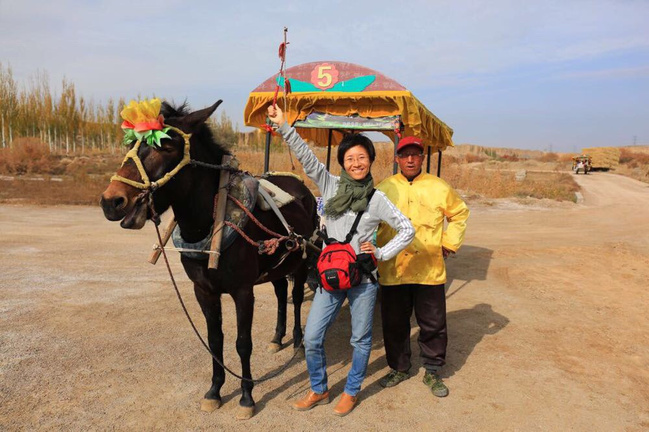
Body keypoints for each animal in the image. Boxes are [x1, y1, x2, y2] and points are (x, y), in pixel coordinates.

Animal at [99, 100, 318, 418]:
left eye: (166, 146)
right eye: (131, 144)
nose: (111, 201)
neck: (211, 222)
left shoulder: (243, 291)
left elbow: (242, 343)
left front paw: (247, 396)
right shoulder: (203, 290)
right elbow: (215, 340)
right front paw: (215, 391)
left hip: (301, 259)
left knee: (298, 298)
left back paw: (298, 341)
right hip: (276, 264)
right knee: (280, 294)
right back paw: (278, 338)